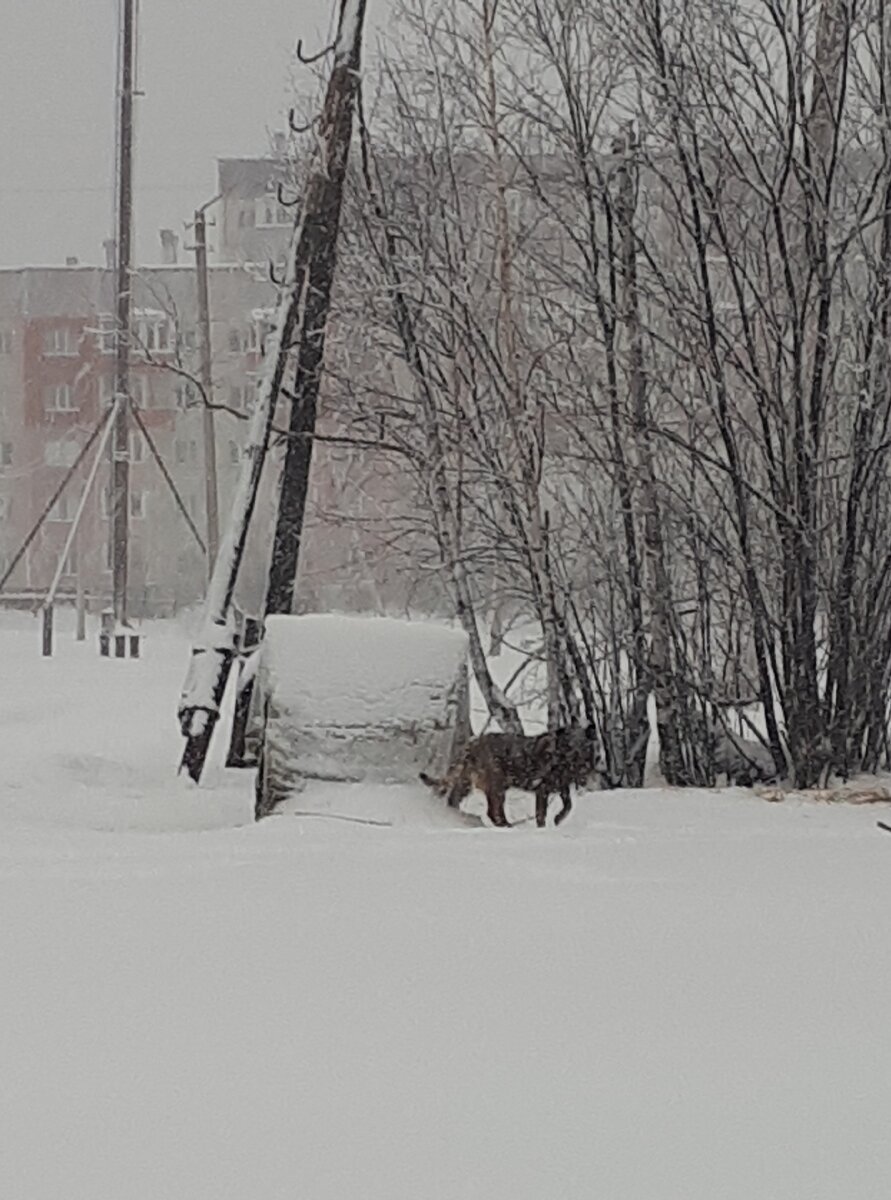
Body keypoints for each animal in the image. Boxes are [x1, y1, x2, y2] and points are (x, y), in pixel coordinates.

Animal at [420, 720, 602, 825]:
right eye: (568, 747)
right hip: (496, 783)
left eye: (584, 746)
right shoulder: (542, 789)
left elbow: (568, 805)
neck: (561, 763)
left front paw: (558, 818)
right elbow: (541, 814)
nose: (582, 767)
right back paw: (506, 826)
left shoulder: (562, 787)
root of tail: (472, 744)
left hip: (467, 781)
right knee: (493, 811)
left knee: (454, 800)